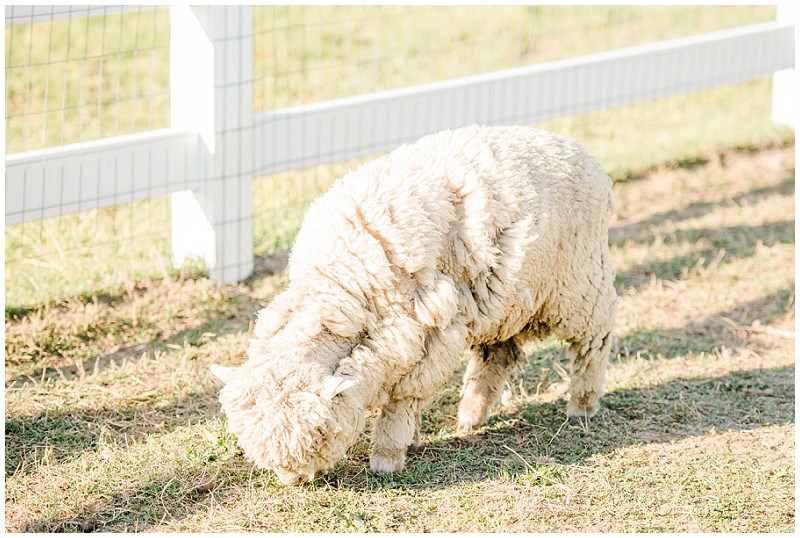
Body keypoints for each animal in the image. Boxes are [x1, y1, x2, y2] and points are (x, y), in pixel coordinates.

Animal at [209, 123, 616, 484]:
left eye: (319, 436)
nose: (291, 480)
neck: (340, 279)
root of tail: (578, 150)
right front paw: (414, 439)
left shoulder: (428, 336)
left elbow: (401, 401)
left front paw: (388, 456)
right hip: (504, 299)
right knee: (497, 356)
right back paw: (471, 416)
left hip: (580, 283)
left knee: (596, 340)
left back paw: (582, 406)